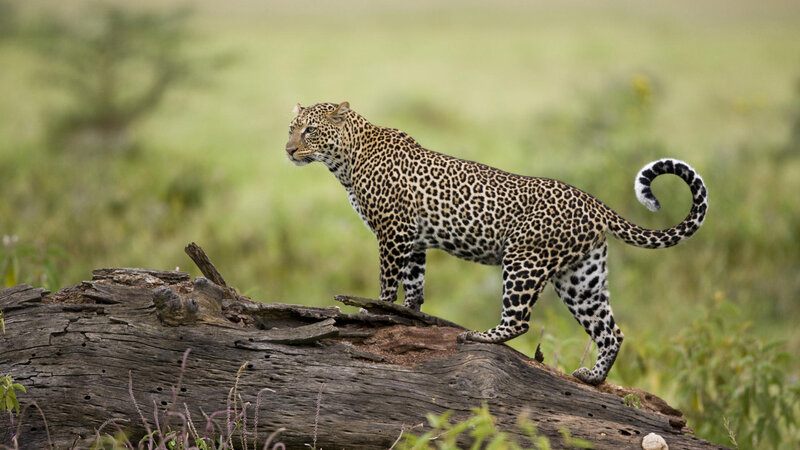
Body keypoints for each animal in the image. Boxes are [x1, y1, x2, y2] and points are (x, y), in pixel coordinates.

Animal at [285, 101, 708, 385]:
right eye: (291, 128)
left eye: (310, 131)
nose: (288, 150)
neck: (345, 160)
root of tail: (594, 203)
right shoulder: (414, 240)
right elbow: (415, 285)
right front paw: (408, 315)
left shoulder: (393, 232)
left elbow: (388, 283)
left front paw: (373, 314)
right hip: (581, 278)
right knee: (610, 331)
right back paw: (593, 377)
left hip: (524, 260)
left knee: (520, 320)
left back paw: (479, 335)